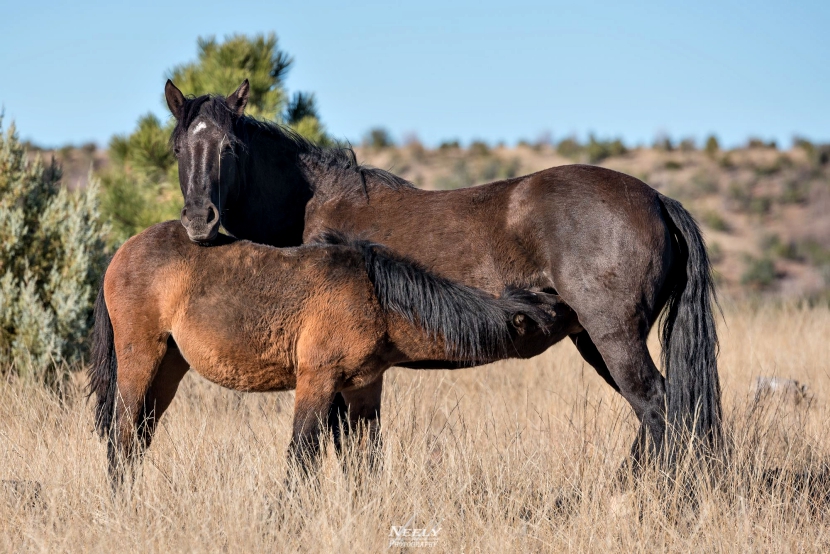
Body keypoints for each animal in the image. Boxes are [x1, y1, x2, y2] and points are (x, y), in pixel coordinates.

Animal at [92, 219, 572, 478]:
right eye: (554, 312)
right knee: (121, 434)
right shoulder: (317, 382)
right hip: (141, 359)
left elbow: (366, 462)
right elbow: (302, 457)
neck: (376, 298)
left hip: (169, 369)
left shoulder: (363, 389)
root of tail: (122, 251)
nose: (574, 305)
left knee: (138, 437)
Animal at [162, 78, 720, 462]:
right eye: (178, 147)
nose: (199, 221)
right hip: (595, 341)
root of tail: (657, 199)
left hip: (614, 337)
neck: (312, 204)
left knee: (657, 407)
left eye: (230, 147)